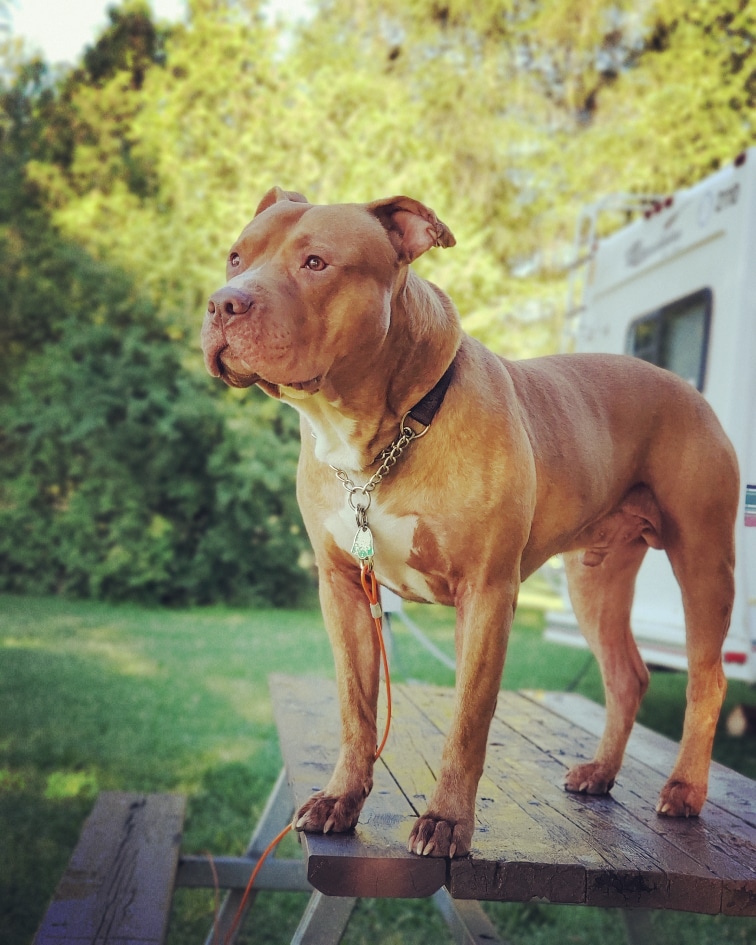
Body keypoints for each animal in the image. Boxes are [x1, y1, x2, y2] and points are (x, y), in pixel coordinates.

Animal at [201, 187, 738, 858]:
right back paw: (600, 773)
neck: (385, 433)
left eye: (316, 263)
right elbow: (355, 708)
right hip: (596, 581)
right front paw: (341, 799)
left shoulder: (486, 593)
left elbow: (467, 720)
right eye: (235, 256)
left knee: (706, 678)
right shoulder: (343, 590)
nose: (224, 302)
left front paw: (448, 822)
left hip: (703, 561)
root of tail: (687, 388)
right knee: (626, 676)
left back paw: (686, 789)